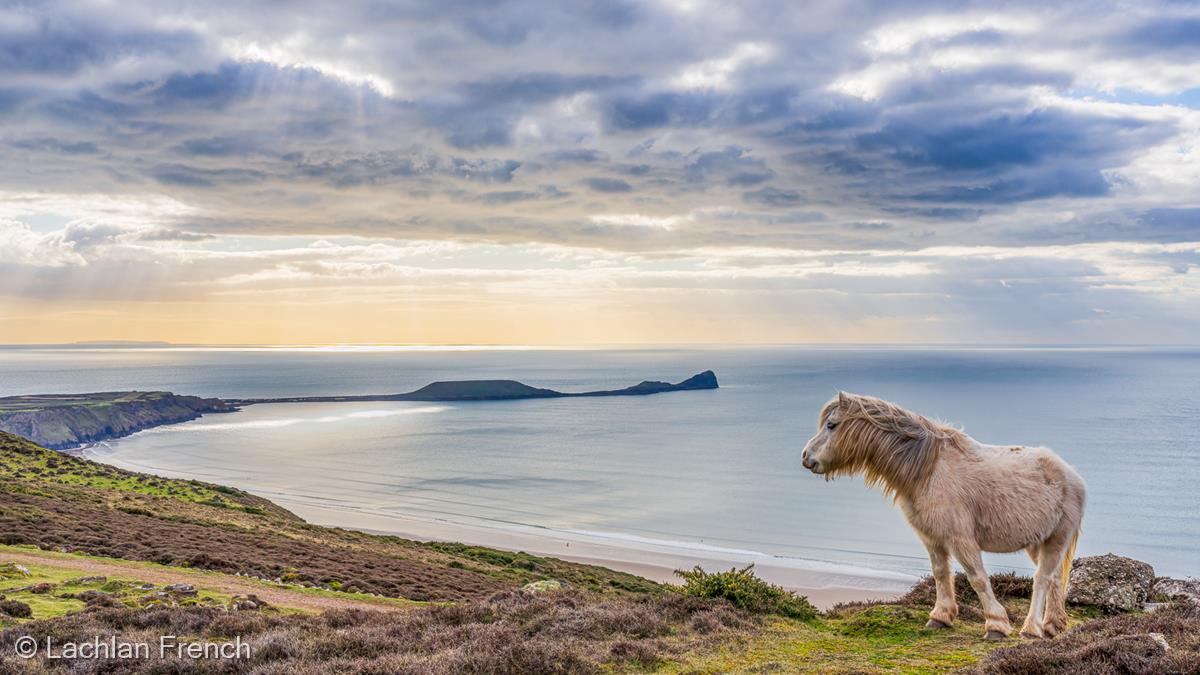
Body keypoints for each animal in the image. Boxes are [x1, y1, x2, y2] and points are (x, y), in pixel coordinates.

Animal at [796, 389, 1089, 634]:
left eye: (832, 425)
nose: (806, 457)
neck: (929, 470)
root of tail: (1072, 476)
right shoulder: (932, 538)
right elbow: (940, 573)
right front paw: (941, 617)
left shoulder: (961, 539)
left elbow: (977, 578)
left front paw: (996, 624)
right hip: (1038, 543)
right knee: (1054, 579)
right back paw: (1052, 625)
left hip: (1056, 539)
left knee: (1042, 579)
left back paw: (1031, 629)